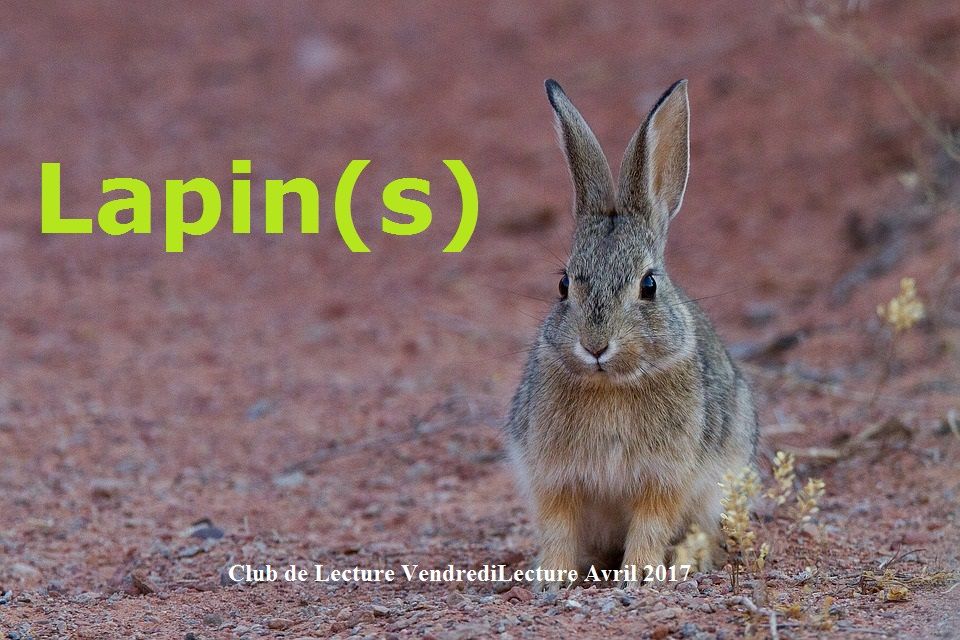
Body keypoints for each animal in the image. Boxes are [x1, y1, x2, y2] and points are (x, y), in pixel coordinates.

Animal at [505, 78, 759, 591]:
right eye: (564, 285)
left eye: (649, 285)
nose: (595, 346)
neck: (611, 384)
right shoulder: (552, 475)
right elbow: (558, 523)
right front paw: (553, 576)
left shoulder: (665, 477)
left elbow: (651, 522)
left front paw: (640, 572)